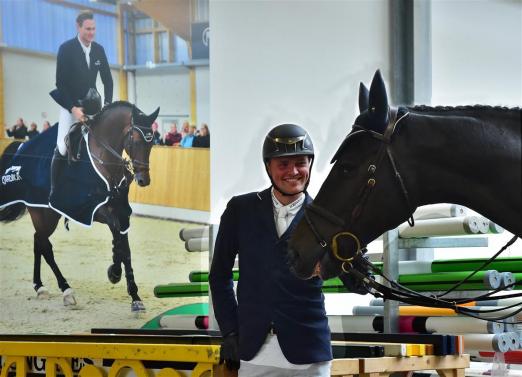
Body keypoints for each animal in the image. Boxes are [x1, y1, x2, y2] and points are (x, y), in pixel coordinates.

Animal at [0, 101, 158, 312]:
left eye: (152, 142)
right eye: (137, 140)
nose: (143, 180)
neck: (104, 160)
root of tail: (21, 147)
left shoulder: (121, 211)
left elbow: (124, 247)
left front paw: (134, 296)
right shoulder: (96, 209)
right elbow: (118, 239)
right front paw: (115, 273)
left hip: (48, 215)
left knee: (38, 242)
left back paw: (39, 286)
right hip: (42, 212)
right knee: (45, 246)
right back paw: (66, 290)